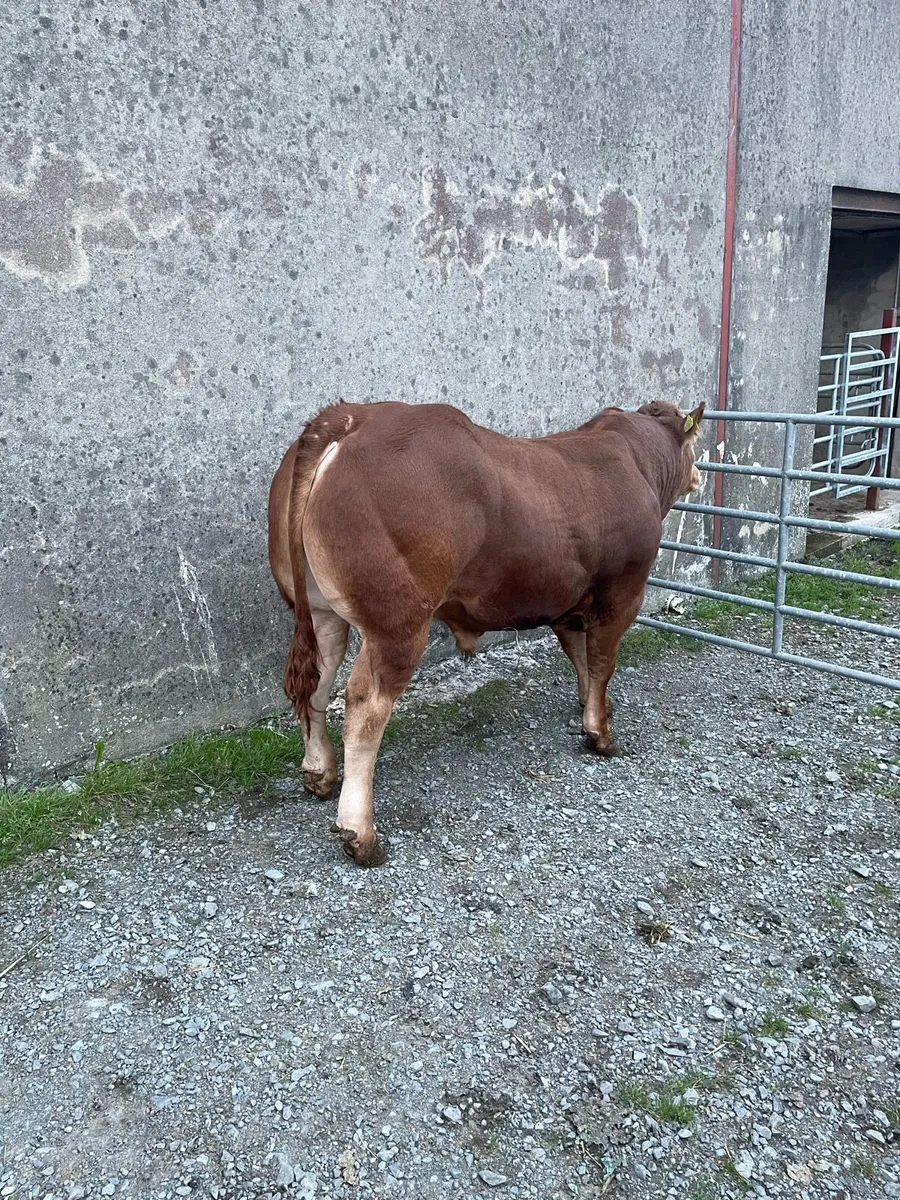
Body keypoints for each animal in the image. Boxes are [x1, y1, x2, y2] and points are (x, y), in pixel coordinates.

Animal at [268, 398, 704, 867]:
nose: (699, 475)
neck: (639, 459)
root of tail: (348, 417)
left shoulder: (568, 601)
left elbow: (580, 657)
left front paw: (587, 703)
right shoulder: (623, 591)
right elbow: (603, 661)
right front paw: (600, 735)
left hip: (319, 612)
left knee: (316, 685)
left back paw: (319, 772)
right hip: (398, 623)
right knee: (365, 707)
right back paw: (360, 834)